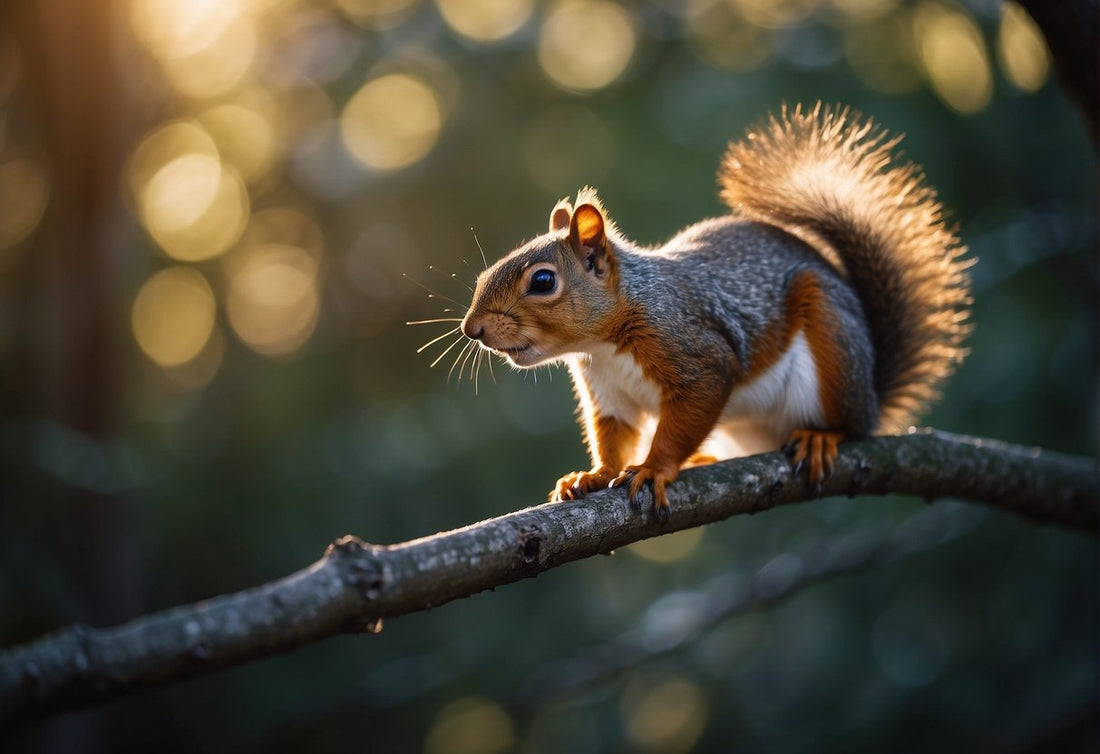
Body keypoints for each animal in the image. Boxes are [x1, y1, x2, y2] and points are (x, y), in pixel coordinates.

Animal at [455, 104, 972, 517]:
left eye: (543, 281)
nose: (471, 328)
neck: (604, 343)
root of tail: (873, 393)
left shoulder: (696, 352)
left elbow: (689, 412)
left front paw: (654, 469)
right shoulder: (608, 393)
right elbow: (614, 437)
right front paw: (594, 475)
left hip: (835, 350)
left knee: (853, 426)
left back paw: (822, 437)